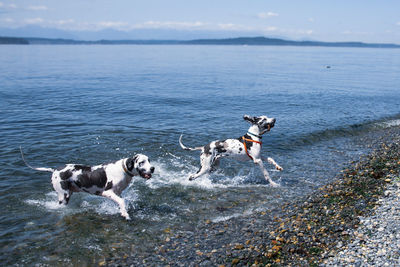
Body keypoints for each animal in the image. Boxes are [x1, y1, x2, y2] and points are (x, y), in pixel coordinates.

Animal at [19, 150, 155, 221]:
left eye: (149, 160)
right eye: (142, 162)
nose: (153, 168)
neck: (123, 169)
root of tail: (54, 170)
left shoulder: (117, 193)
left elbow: (120, 202)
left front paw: (122, 211)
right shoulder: (106, 192)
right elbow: (122, 202)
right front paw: (125, 214)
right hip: (64, 196)